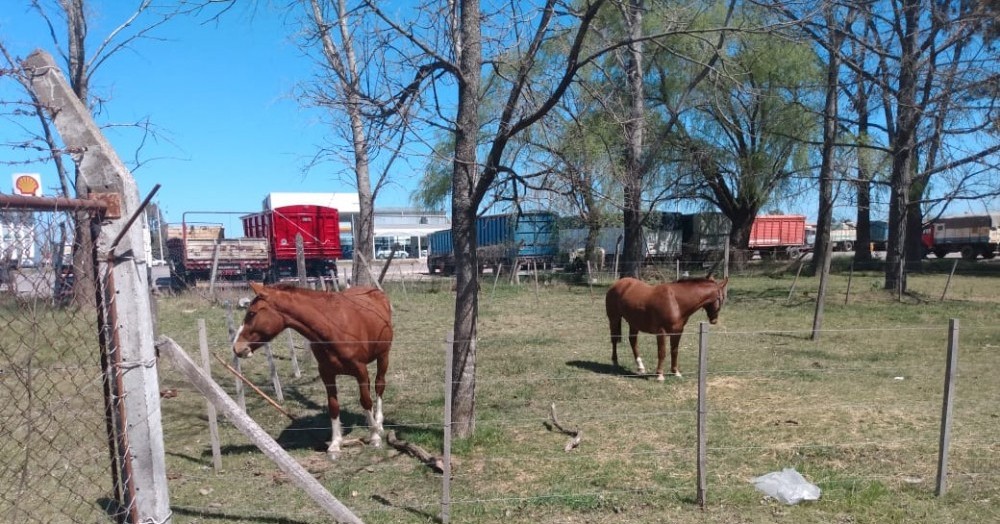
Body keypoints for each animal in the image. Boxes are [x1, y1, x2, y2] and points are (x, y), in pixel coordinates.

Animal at [232, 282, 392, 458]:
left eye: (252, 313)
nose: (237, 348)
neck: (332, 326)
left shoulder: (360, 371)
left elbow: (366, 401)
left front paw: (375, 437)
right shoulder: (327, 373)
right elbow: (333, 406)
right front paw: (335, 444)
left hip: (383, 356)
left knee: (379, 386)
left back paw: (378, 424)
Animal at [604, 274, 732, 380]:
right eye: (722, 298)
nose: (714, 320)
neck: (676, 302)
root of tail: (617, 284)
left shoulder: (678, 332)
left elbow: (674, 351)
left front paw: (676, 372)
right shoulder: (661, 332)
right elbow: (662, 352)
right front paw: (660, 375)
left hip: (634, 323)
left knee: (633, 341)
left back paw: (640, 367)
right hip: (614, 319)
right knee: (614, 340)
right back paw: (615, 362)